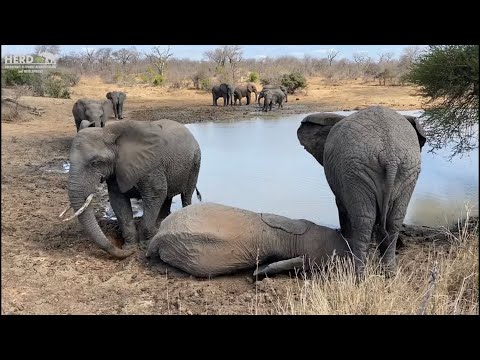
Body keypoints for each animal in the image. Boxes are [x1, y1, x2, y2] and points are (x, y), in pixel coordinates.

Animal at [60, 120, 202, 258]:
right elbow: (118, 201)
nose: (130, 253)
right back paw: (161, 222)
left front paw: (144, 246)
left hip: (195, 163)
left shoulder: (151, 167)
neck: (108, 133)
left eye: (95, 163)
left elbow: (156, 194)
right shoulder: (116, 171)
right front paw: (130, 248)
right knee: (168, 196)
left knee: (186, 195)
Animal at [296, 105, 428, 278]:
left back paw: (358, 274)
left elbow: (342, 208)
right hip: (406, 170)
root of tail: (390, 157)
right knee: (393, 221)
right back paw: (389, 273)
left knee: (364, 220)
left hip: (357, 172)